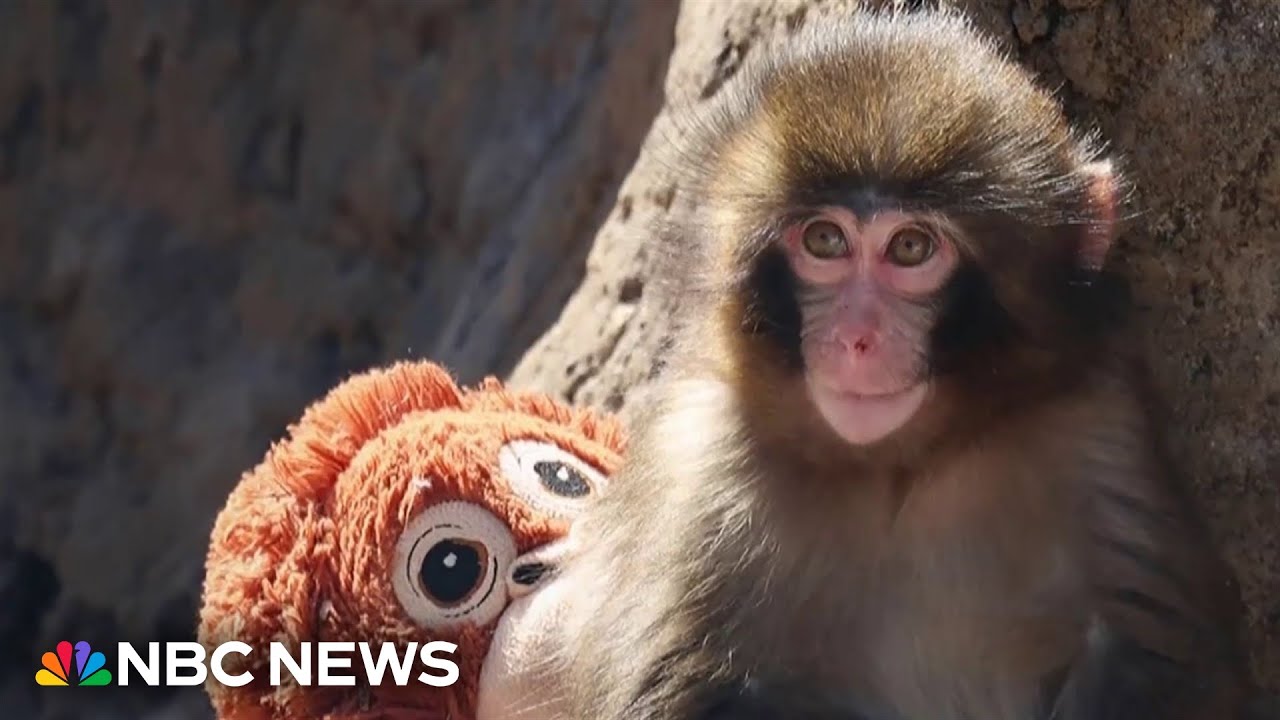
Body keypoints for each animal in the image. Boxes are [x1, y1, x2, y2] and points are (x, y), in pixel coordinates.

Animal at [532, 7, 1268, 720]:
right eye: (825, 241)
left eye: (911, 248)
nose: (857, 338)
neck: (898, 467)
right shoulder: (699, 466)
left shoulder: (1095, 424)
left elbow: (1158, 655)